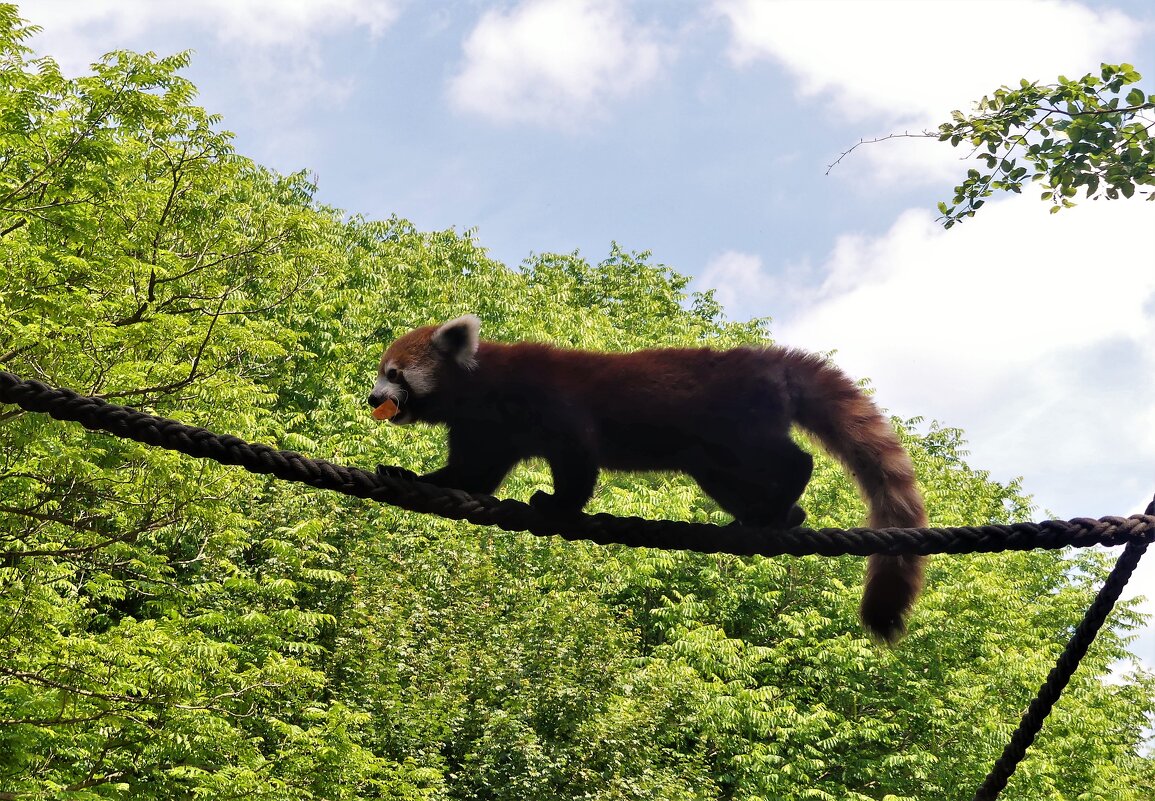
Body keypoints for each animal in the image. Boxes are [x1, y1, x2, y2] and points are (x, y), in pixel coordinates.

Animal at [369, 316, 928, 646]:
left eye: (394, 374)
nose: (373, 399)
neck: (479, 384)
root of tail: (770, 361)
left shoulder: (547, 402)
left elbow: (577, 457)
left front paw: (558, 507)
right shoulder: (484, 431)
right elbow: (473, 477)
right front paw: (403, 475)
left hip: (739, 423)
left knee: (790, 459)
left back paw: (778, 505)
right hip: (712, 455)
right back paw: (772, 516)